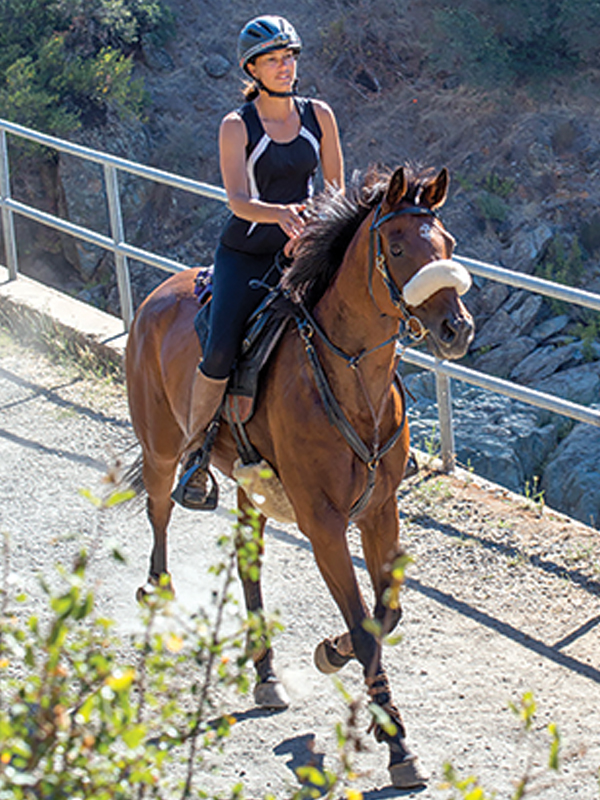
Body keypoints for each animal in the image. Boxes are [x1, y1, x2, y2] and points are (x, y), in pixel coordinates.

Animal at [125, 164, 474, 789]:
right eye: (398, 247)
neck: (350, 378)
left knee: (248, 563)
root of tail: (155, 298)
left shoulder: (380, 512)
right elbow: (361, 623)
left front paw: (332, 653)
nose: (456, 329)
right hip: (161, 448)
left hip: (250, 487)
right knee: (160, 510)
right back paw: (160, 590)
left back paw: (266, 673)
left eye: (449, 244)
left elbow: (386, 615)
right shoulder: (324, 524)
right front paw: (397, 746)